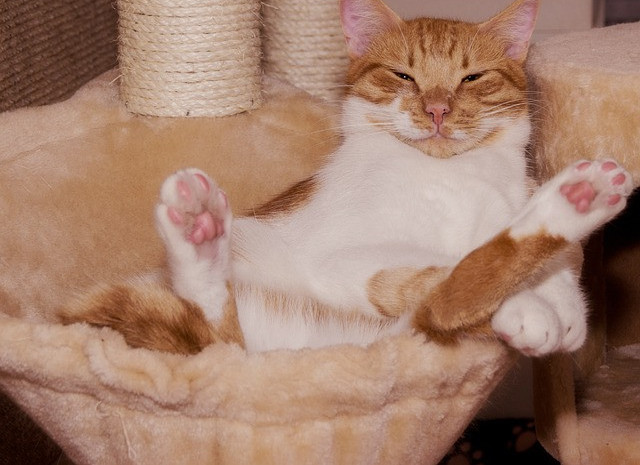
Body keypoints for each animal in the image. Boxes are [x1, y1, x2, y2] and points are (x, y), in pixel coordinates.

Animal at [60, 0, 632, 356]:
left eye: (473, 77)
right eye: (403, 75)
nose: (438, 110)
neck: (449, 174)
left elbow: (554, 262)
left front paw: (565, 306)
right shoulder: (347, 258)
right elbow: (449, 263)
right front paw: (529, 307)